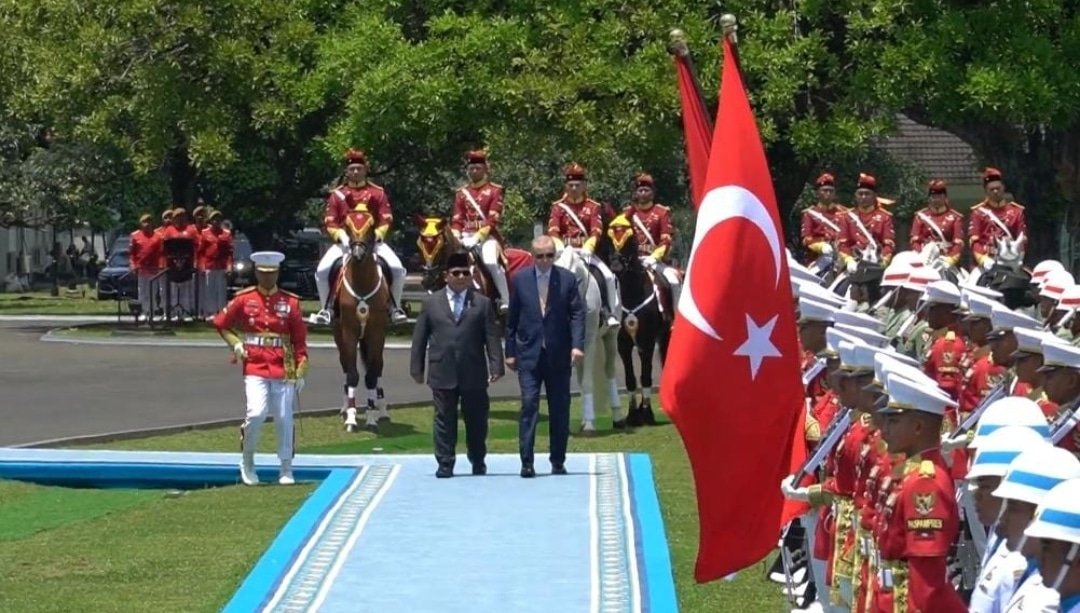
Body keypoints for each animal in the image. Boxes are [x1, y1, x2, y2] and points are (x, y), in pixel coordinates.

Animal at [334, 211, 395, 436]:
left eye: (371, 227)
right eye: (347, 226)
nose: (358, 254)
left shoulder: (376, 333)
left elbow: (371, 375)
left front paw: (371, 417)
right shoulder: (349, 332)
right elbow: (352, 375)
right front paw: (351, 418)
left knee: (377, 368)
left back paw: (382, 410)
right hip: (340, 337)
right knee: (346, 366)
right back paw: (345, 408)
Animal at [557, 247, 626, 433]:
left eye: (576, 281)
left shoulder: (588, 341)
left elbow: (588, 382)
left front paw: (589, 424)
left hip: (611, 339)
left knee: (609, 371)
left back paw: (617, 417)